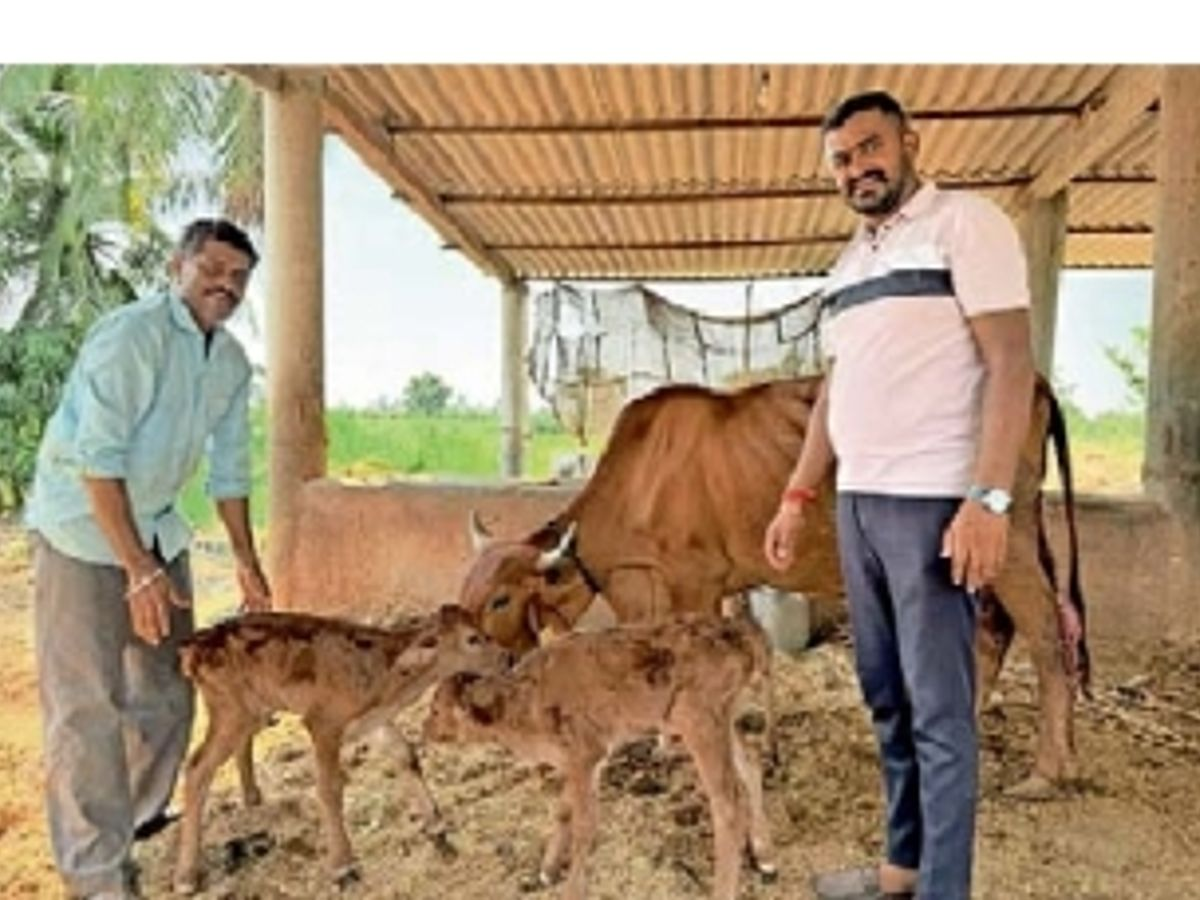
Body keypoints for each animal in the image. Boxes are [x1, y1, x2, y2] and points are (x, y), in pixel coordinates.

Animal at [171, 607, 508, 897]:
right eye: (472, 638)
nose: (508, 656)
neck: (383, 672)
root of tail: (194, 645)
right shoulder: (323, 723)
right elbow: (329, 788)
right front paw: (343, 868)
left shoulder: (373, 719)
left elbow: (404, 755)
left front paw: (439, 831)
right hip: (232, 712)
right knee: (197, 768)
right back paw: (186, 877)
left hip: (252, 713)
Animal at [422, 619, 777, 900]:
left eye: (436, 710)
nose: (425, 730)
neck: (523, 703)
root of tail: (743, 632)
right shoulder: (582, 761)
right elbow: (563, 811)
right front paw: (547, 870)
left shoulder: (584, 755)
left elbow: (584, 826)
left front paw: (571, 890)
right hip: (723, 720)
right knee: (751, 764)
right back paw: (765, 856)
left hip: (700, 724)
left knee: (729, 804)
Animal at [458, 376, 1089, 801]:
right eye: (466, 591)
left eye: (501, 599)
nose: (462, 679)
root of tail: (1035, 380)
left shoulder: (694, 581)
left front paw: (681, 747)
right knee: (995, 630)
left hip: (1000, 539)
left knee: (1046, 634)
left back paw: (1047, 771)